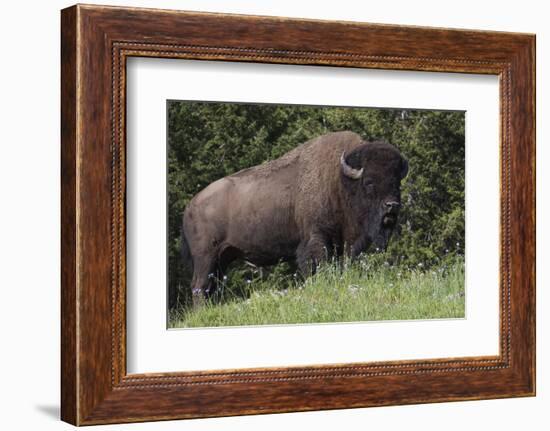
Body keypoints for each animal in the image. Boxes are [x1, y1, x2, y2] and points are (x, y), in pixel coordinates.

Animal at [181, 130, 410, 306]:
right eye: (369, 182)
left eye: (396, 182)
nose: (392, 206)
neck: (339, 181)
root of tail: (190, 206)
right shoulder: (317, 238)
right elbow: (317, 265)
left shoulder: (342, 243)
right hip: (206, 258)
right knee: (199, 286)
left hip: (222, 259)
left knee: (211, 287)